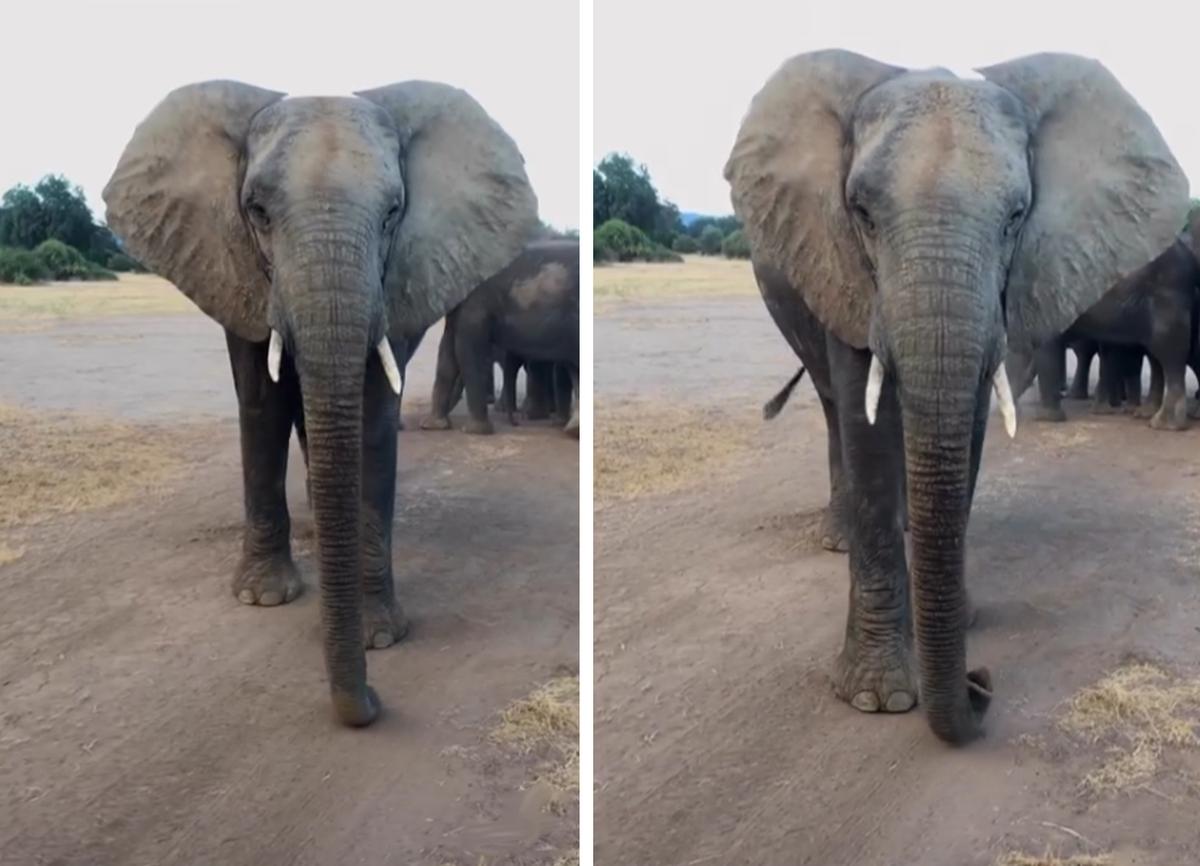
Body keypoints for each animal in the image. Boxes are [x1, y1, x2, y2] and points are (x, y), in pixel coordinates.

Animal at [103, 79, 535, 719]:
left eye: (393, 213)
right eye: (256, 211)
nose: (374, 700)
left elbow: (373, 421)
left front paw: (377, 636)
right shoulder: (234, 265)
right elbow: (261, 404)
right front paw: (263, 599)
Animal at [420, 239, 578, 434]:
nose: (516, 424)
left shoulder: (476, 300)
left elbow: (466, 347)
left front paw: (475, 431)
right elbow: (448, 348)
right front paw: (433, 426)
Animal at [720, 50, 1190, 738]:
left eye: (1017, 217)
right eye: (861, 213)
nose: (981, 682)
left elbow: (968, 426)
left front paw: (956, 618)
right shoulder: (840, 261)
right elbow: (864, 423)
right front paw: (879, 698)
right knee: (836, 410)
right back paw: (841, 537)